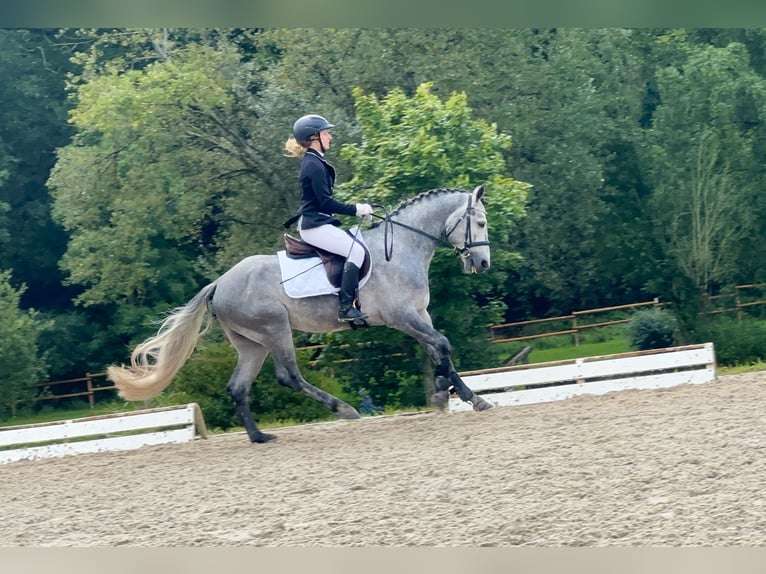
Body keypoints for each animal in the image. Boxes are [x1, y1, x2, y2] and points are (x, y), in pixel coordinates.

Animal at [107, 185, 494, 443]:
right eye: (479, 222)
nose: (482, 264)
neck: (401, 248)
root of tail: (219, 282)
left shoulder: (419, 314)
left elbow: (439, 347)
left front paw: (471, 396)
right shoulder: (401, 317)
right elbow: (442, 344)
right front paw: (446, 389)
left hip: (251, 344)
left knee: (238, 386)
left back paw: (259, 437)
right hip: (275, 329)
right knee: (289, 376)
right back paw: (343, 409)